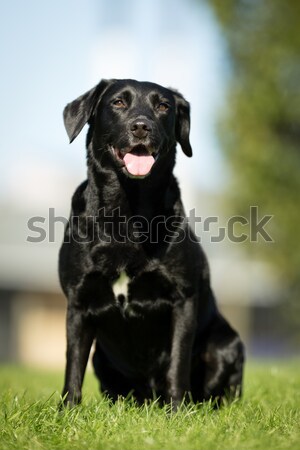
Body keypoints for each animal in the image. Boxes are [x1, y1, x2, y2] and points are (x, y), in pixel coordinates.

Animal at [58, 77, 244, 408]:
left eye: (163, 106)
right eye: (118, 102)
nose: (141, 126)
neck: (127, 211)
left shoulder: (183, 300)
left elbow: (177, 364)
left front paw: (177, 411)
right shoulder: (78, 301)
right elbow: (73, 365)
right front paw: (67, 411)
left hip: (226, 345)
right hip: (101, 359)